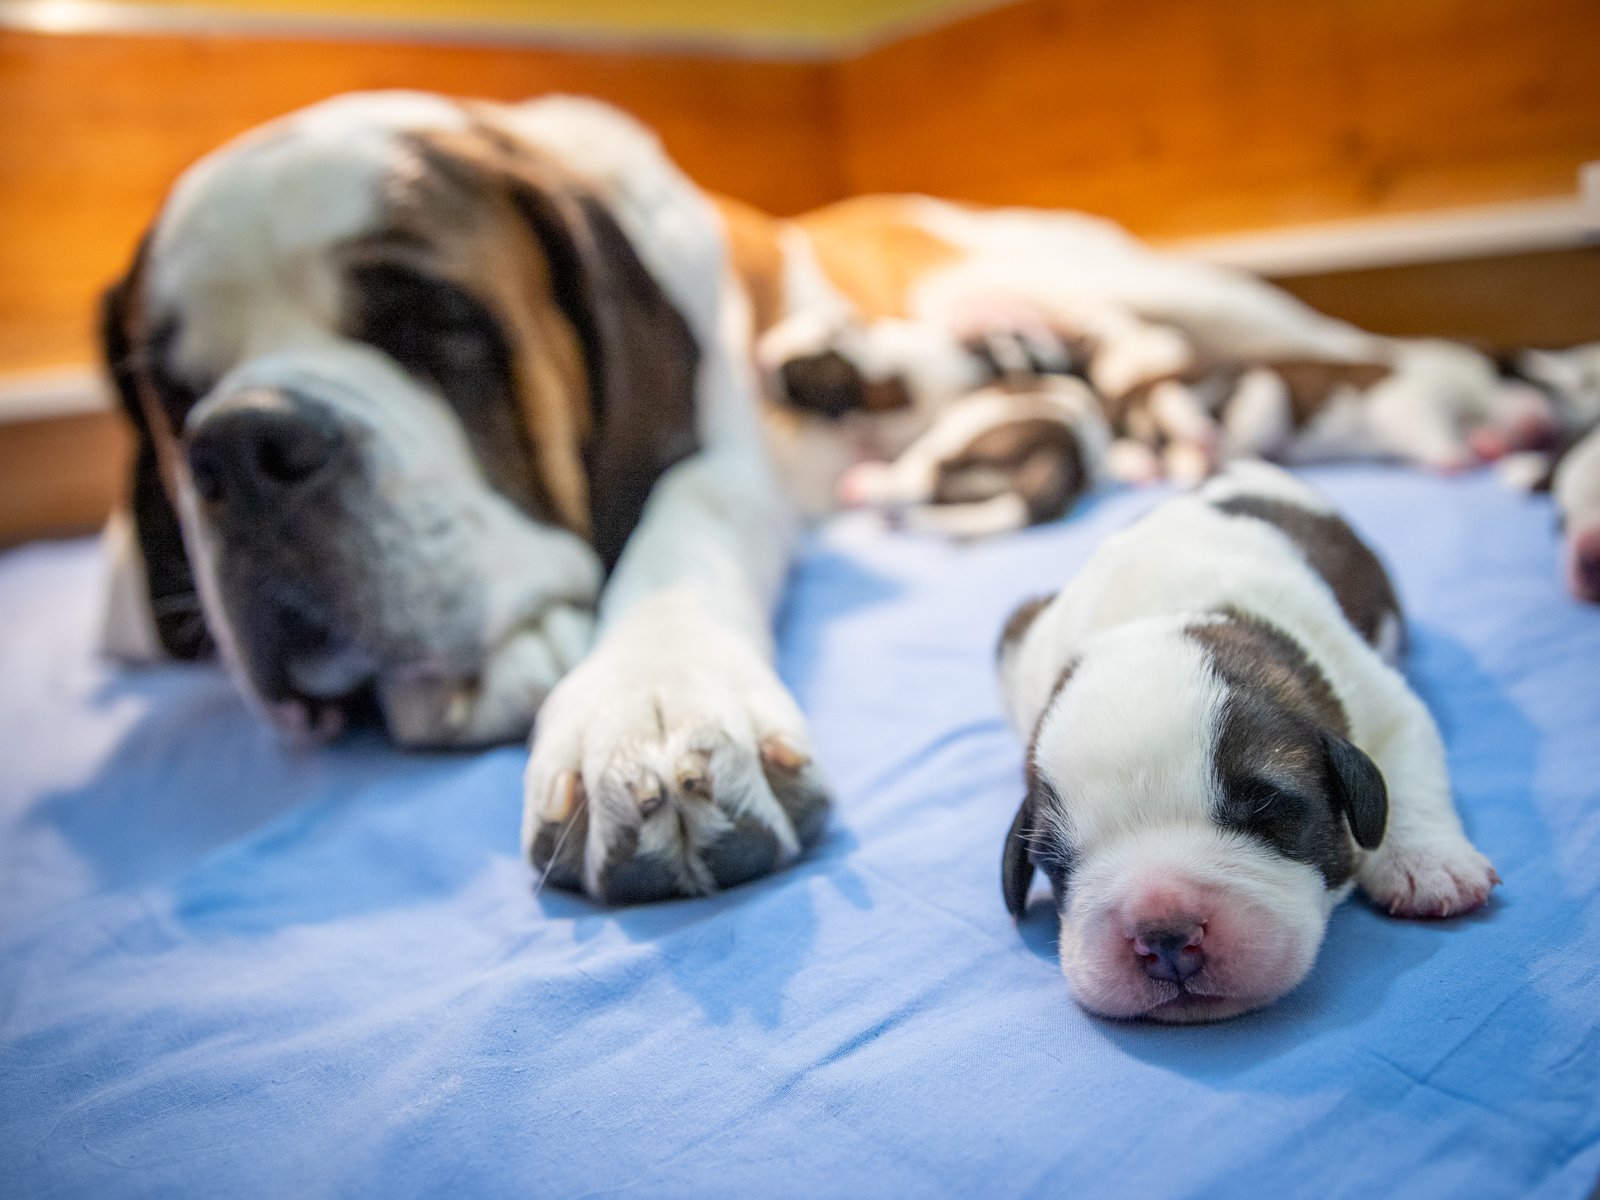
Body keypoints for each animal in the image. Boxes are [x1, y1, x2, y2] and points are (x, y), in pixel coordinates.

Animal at [101, 91, 832, 902]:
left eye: (433, 320)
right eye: (175, 392)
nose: (240, 445)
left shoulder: (725, 458)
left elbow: (691, 526)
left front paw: (655, 698)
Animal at [998, 464, 1497, 1030]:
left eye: (1266, 809)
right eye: (1056, 862)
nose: (1164, 934)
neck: (1165, 615)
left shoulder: (1378, 696)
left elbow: (1406, 770)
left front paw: (1428, 863)